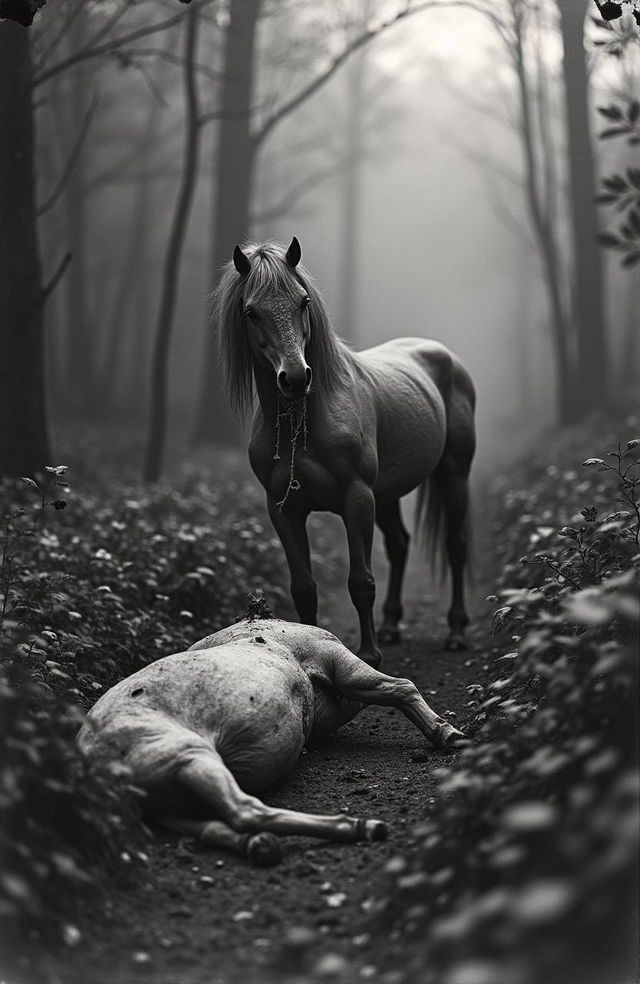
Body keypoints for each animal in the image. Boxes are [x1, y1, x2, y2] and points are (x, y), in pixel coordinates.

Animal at [77, 620, 462, 864]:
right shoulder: (336, 666)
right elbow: (399, 687)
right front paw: (452, 736)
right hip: (189, 754)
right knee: (246, 810)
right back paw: (364, 826)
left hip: (169, 800)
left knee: (216, 825)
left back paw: (261, 846)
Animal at [215, 240, 476, 668]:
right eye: (251, 312)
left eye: (303, 301)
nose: (296, 377)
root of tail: (446, 357)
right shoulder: (283, 510)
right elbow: (304, 588)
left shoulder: (357, 498)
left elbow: (361, 580)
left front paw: (370, 654)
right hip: (386, 495)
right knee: (400, 545)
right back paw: (392, 625)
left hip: (452, 475)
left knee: (455, 547)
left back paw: (456, 632)